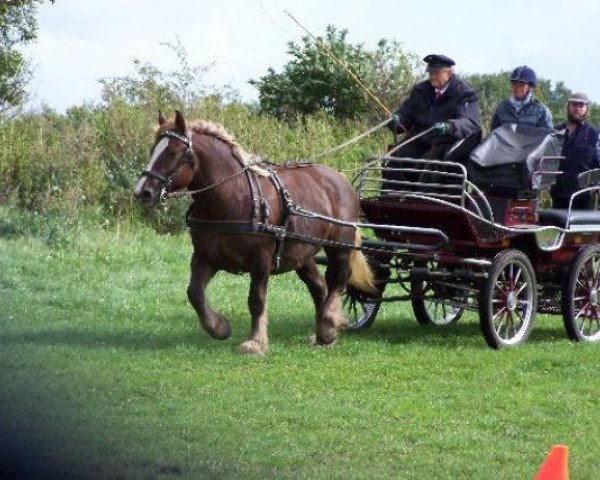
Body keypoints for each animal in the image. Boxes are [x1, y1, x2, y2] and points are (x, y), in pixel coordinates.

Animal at [135, 110, 376, 354]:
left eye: (173, 152)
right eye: (153, 150)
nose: (142, 192)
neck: (231, 196)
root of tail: (341, 180)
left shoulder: (261, 259)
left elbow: (256, 299)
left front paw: (256, 343)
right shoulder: (204, 256)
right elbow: (194, 293)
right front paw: (219, 327)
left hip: (340, 245)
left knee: (339, 278)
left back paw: (330, 323)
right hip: (301, 253)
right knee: (319, 286)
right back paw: (324, 334)